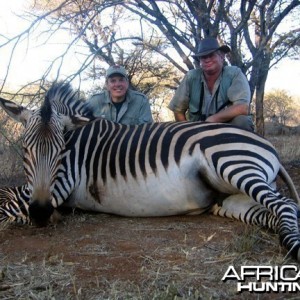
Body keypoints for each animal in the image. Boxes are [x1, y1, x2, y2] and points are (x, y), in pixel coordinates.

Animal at [0, 82, 298, 260]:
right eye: (25, 149)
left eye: (61, 151)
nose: (40, 213)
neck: (77, 141)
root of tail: (263, 142)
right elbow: (8, 198)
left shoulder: (61, 183)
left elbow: (5, 204)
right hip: (227, 198)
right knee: (275, 213)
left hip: (233, 163)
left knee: (285, 205)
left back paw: (293, 247)